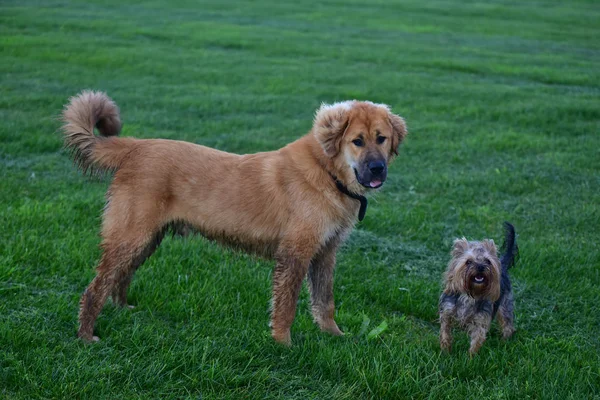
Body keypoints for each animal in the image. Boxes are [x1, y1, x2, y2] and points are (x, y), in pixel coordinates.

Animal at [61, 90, 408, 344]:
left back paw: (124, 309)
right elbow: (286, 305)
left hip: (146, 238)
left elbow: (325, 300)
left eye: (381, 138)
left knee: (121, 277)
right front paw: (283, 343)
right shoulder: (295, 253)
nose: (377, 169)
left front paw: (334, 335)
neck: (328, 173)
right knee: (95, 288)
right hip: (130, 236)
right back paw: (86, 336)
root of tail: (135, 147)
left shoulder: (325, 252)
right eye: (357, 141)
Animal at [438, 222, 516, 356]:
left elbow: (477, 339)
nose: (480, 266)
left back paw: (504, 342)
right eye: (468, 262)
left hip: (505, 304)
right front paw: (446, 351)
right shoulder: (447, 310)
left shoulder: (481, 319)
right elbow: (445, 330)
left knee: (507, 324)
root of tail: (503, 265)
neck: (470, 293)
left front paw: (470, 357)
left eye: (488, 261)